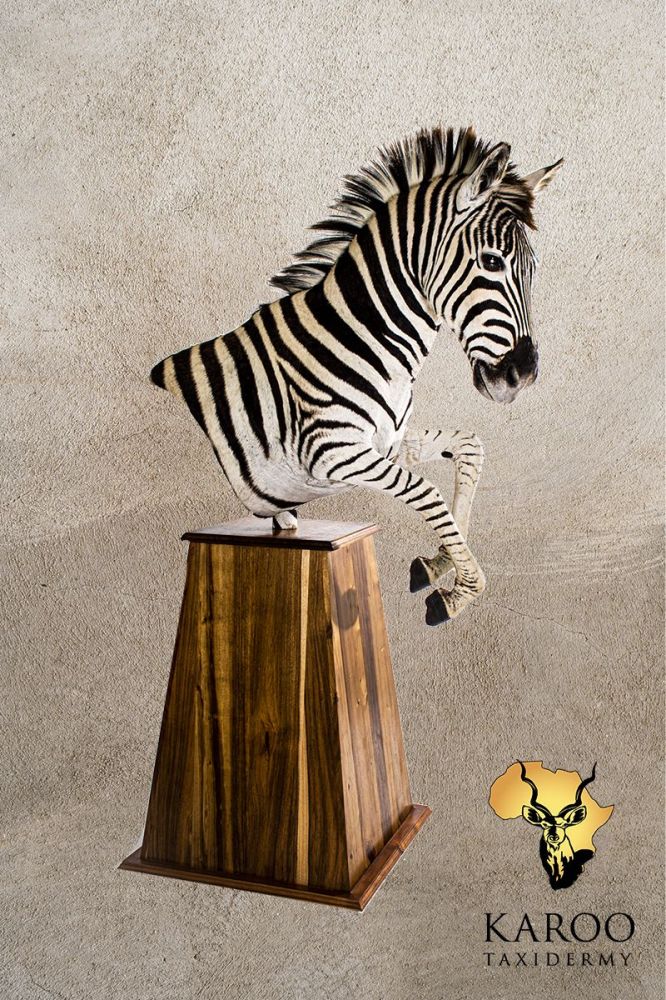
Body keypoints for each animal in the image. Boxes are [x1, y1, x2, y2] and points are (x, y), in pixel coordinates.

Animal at [150, 126, 562, 625]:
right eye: (492, 262)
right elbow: (426, 490)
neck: (367, 341)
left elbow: (470, 447)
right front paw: (460, 591)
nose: (523, 375)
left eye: (532, 269)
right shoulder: (331, 453)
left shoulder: (385, 441)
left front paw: (441, 561)